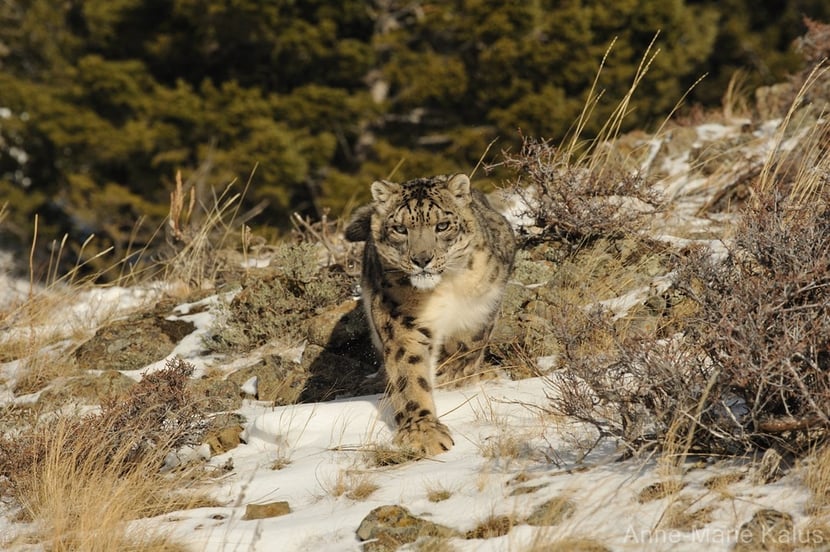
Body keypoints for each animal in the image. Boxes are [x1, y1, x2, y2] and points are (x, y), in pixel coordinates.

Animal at [345, 173, 516, 456]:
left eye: (442, 225)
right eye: (400, 229)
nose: (421, 259)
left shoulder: (483, 306)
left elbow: (467, 346)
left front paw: (451, 377)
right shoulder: (400, 319)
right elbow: (409, 372)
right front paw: (423, 433)